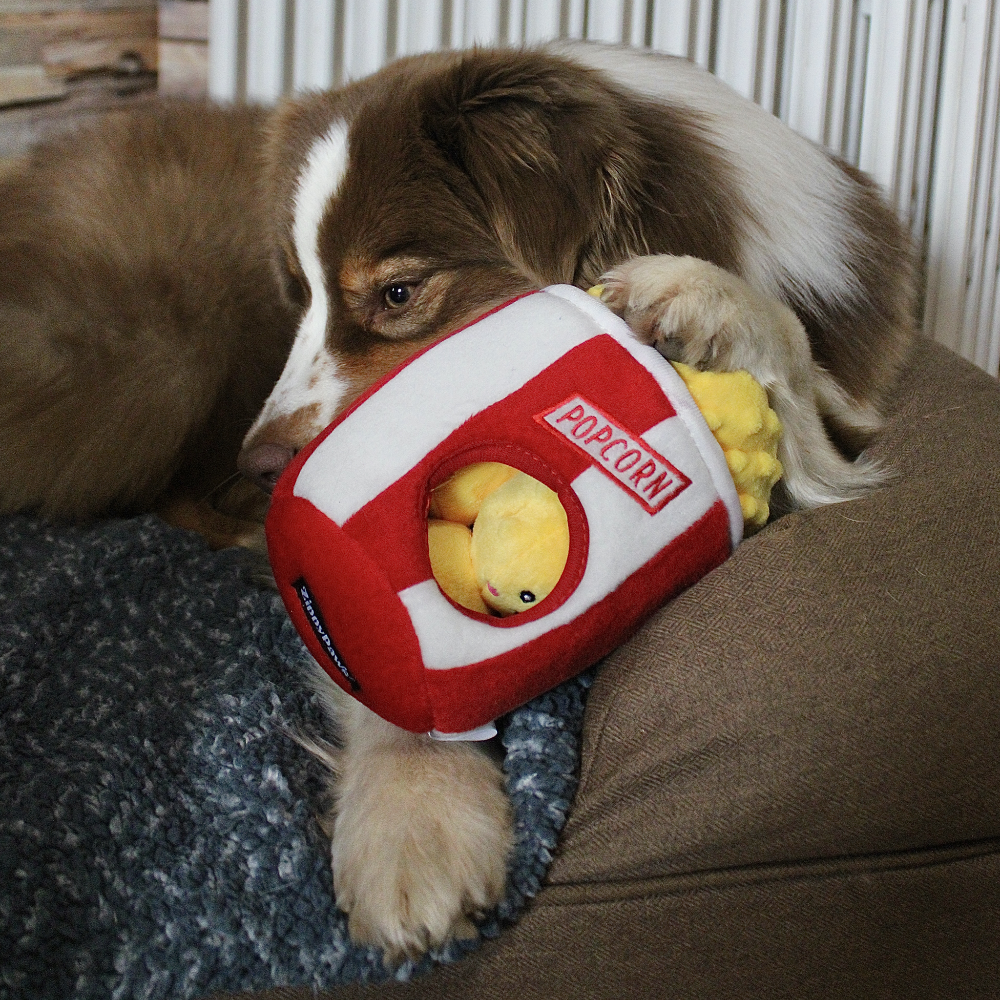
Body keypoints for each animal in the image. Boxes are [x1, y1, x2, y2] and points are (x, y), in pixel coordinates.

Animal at [0, 41, 916, 960]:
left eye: (399, 294)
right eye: (299, 300)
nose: (261, 466)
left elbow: (795, 363)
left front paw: (701, 295)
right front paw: (415, 822)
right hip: (153, 366)